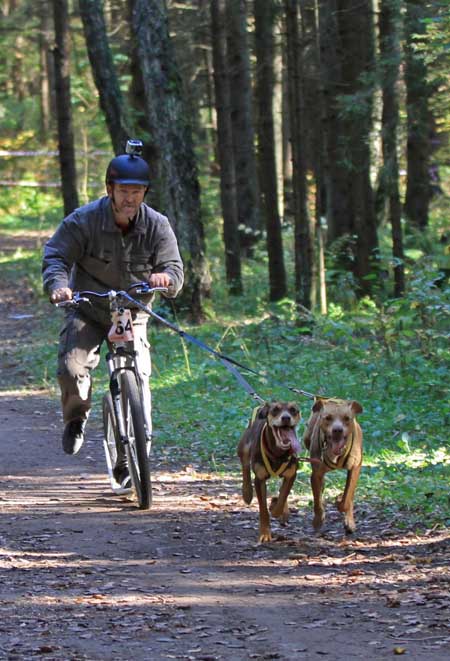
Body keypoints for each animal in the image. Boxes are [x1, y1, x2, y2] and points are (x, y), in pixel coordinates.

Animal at [237, 402, 300, 540]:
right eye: (275, 410)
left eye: (293, 410)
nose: (286, 418)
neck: (278, 453)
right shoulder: (259, 479)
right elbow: (263, 509)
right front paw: (265, 534)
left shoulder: (291, 474)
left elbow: (283, 496)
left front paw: (277, 509)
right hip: (244, 446)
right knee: (245, 466)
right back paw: (247, 492)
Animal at [302, 398, 362, 532]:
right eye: (328, 418)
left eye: (347, 418)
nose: (337, 430)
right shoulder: (316, 473)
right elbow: (317, 501)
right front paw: (318, 519)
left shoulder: (355, 468)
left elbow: (347, 498)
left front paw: (340, 501)